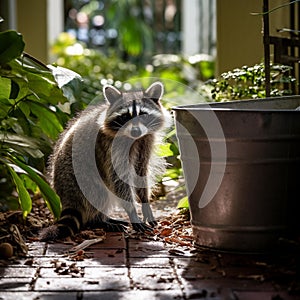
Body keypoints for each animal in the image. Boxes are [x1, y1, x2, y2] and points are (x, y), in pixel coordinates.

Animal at [39, 81, 169, 240]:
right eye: (125, 116)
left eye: (143, 115)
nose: (136, 131)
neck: (134, 138)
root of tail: (65, 195)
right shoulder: (111, 146)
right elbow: (119, 179)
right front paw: (132, 212)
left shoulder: (146, 141)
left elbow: (141, 171)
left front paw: (145, 202)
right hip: (79, 176)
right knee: (98, 191)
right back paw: (97, 220)